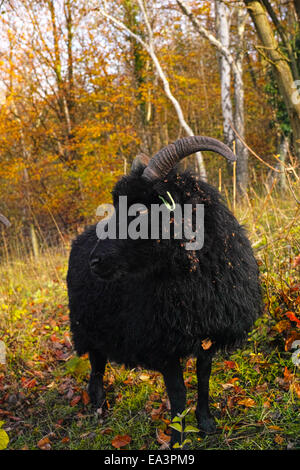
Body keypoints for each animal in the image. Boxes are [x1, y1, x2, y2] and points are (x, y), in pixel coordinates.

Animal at [67, 137, 262, 448]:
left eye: (141, 211)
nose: (95, 262)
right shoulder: (163, 343)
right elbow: (178, 394)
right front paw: (177, 439)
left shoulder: (209, 334)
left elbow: (204, 378)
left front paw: (206, 423)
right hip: (86, 326)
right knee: (96, 364)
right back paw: (98, 404)